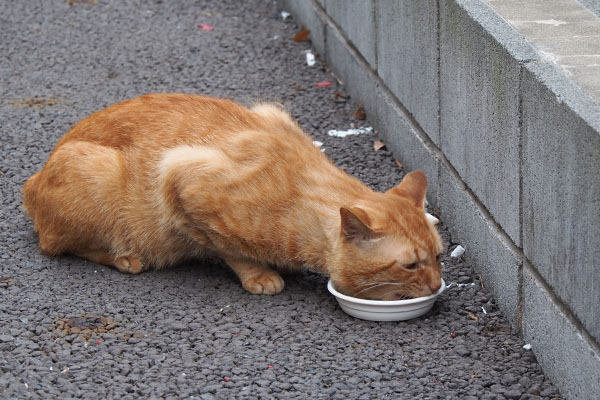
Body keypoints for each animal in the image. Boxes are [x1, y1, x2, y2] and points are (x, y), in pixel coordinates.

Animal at [23, 94, 442, 300]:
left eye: (438, 257)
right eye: (410, 266)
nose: (437, 285)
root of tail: (32, 179)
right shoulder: (181, 177)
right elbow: (228, 248)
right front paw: (259, 274)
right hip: (95, 169)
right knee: (57, 244)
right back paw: (124, 258)